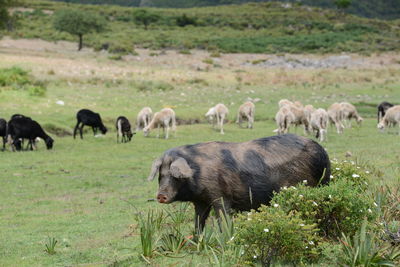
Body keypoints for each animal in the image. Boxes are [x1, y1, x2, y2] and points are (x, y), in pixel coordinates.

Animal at [148, 134, 332, 232]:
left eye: (175, 176)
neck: (198, 170)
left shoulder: (220, 195)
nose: (161, 195)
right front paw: (197, 242)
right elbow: (198, 222)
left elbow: (223, 218)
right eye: (161, 175)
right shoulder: (200, 201)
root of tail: (322, 152)